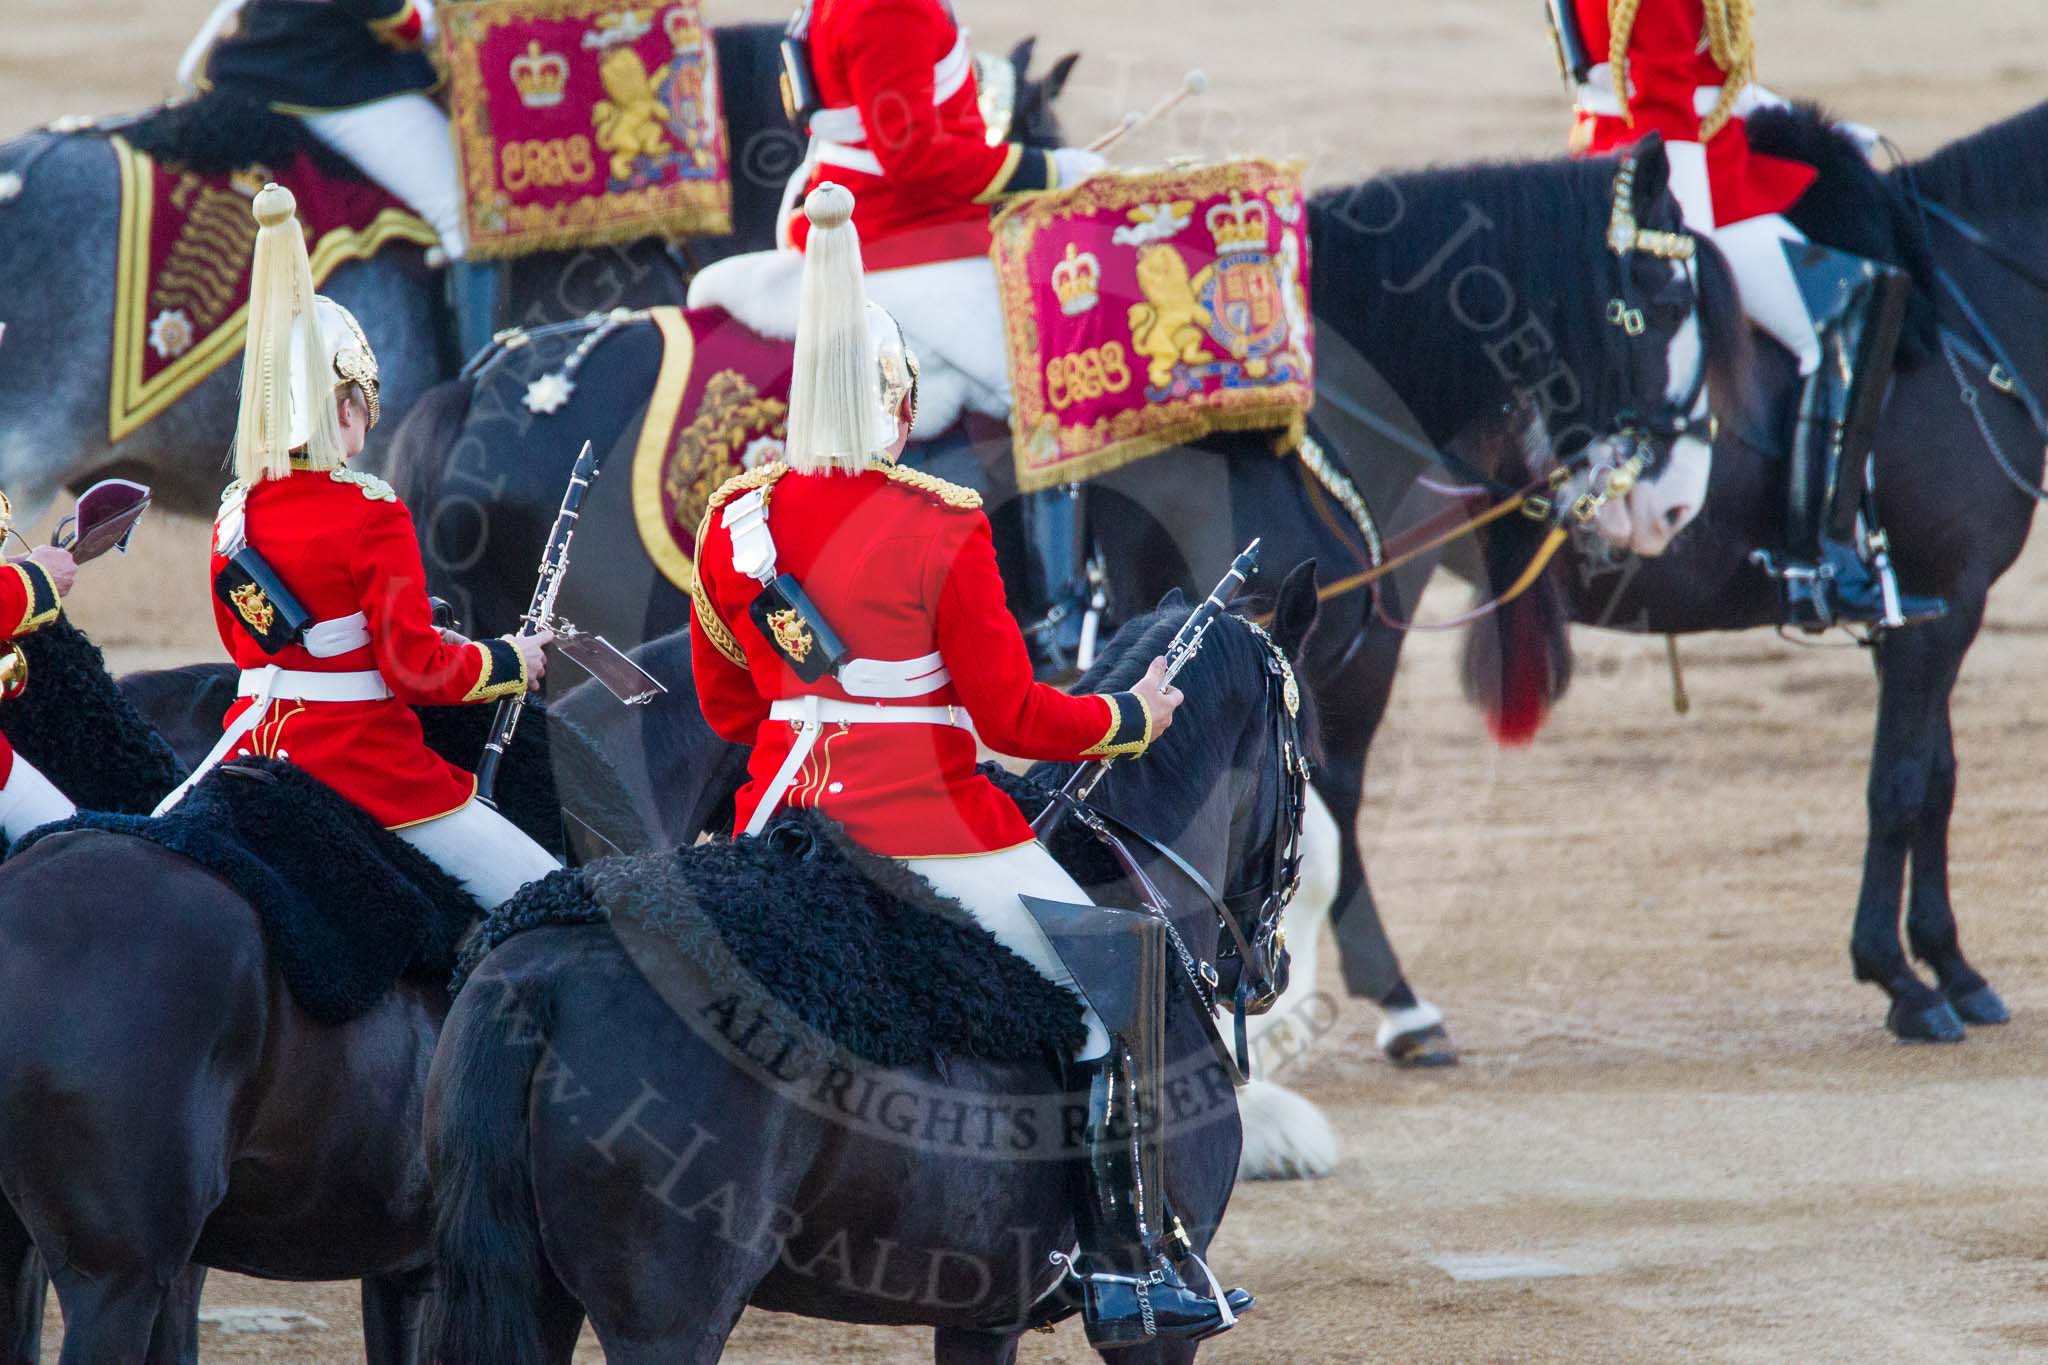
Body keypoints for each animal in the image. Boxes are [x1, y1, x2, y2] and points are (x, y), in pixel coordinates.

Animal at [380, 130, 1728, 1064]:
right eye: (1665, 303)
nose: (1675, 506)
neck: (1289, 419)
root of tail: (472, 386)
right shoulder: (1316, 659)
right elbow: (1321, 808)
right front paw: (1381, 1008)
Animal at [430, 573, 1318, 1358]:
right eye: (1305, 760)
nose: (1269, 966)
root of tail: (531, 973)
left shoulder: (981, 1315)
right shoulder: (1159, 1339)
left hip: (539, 1299)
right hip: (671, 1323)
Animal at [593, 47, 671, 181]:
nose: (604, 54)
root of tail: (611, 139)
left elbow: (651, 84)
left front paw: (663, 70)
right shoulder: (646, 101)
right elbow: (654, 102)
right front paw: (664, 113)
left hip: (645, 131)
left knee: (650, 142)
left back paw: (661, 148)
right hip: (630, 143)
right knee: (618, 158)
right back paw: (623, 173)